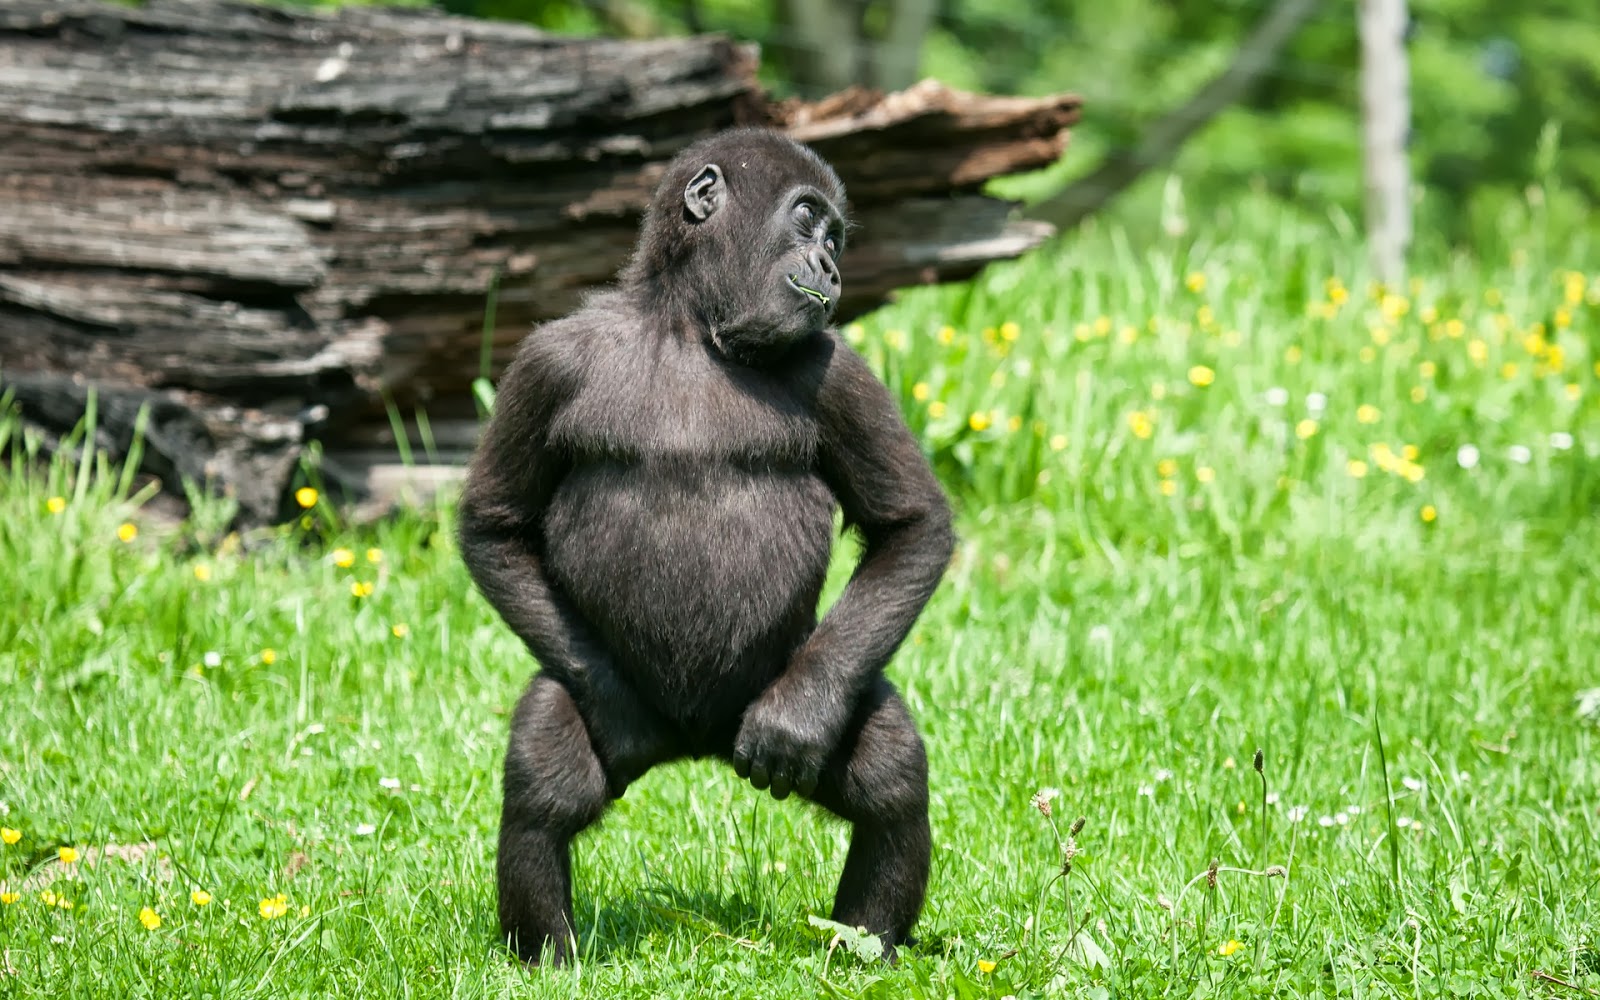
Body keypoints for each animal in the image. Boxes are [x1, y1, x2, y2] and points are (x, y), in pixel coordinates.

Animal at [464, 128, 953, 966]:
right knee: (543, 773)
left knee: (888, 769)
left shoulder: (837, 367)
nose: (832, 268)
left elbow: (911, 526)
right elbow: (494, 524)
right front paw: (616, 712)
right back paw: (547, 956)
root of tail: (695, 744)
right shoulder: (547, 361)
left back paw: (863, 949)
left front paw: (795, 722)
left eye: (836, 239)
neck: (691, 326)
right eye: (808, 220)